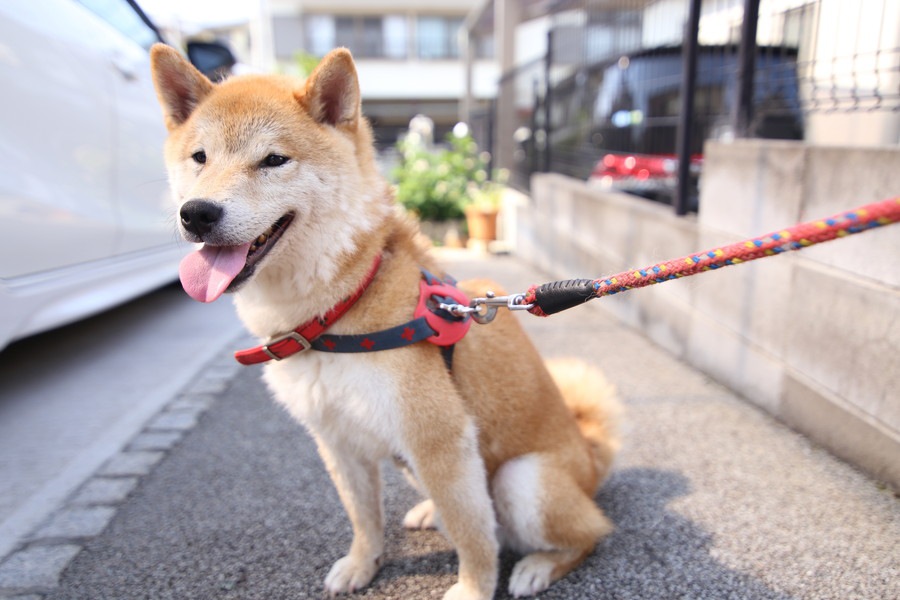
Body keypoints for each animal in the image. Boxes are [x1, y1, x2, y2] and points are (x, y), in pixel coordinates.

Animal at [151, 44, 624, 596]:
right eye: (200, 158)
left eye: (274, 160)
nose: (197, 213)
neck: (337, 311)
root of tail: (591, 457)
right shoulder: (337, 440)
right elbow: (364, 516)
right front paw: (363, 564)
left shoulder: (439, 440)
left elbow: (473, 535)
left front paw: (473, 588)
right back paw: (428, 512)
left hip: (521, 479)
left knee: (589, 533)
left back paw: (538, 566)